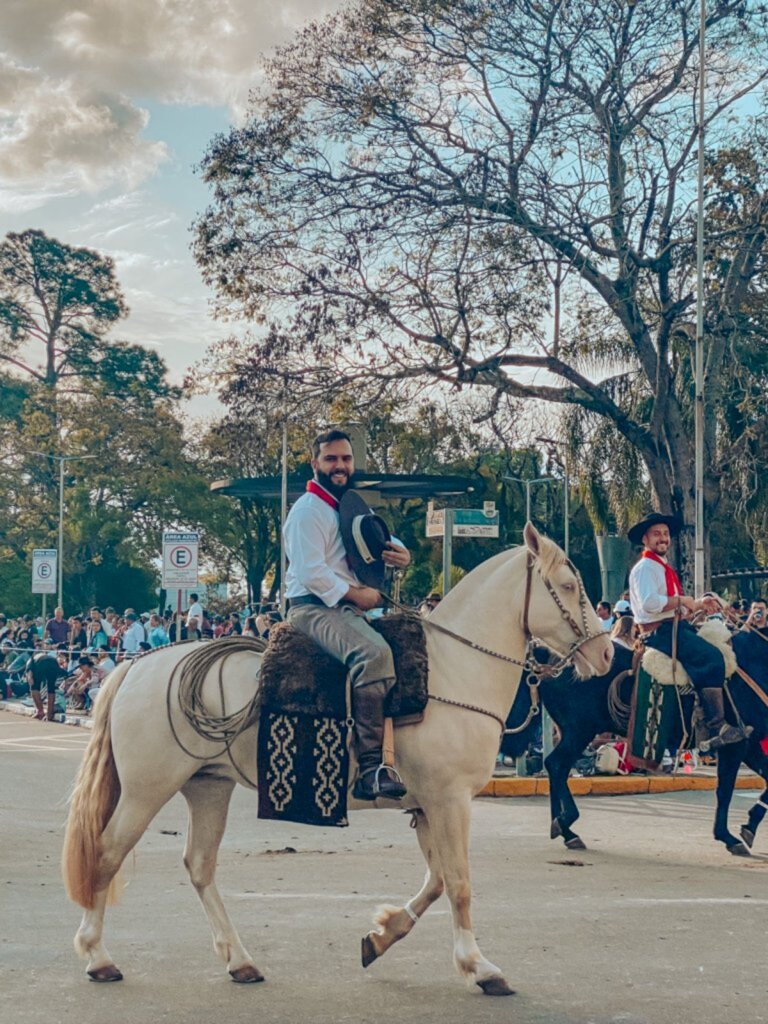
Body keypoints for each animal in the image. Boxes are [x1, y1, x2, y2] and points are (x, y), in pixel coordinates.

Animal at [61, 524, 614, 995]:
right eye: (568, 585)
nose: (607, 654)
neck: (452, 670)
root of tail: (135, 667)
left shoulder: (427, 806)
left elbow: (436, 882)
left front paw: (382, 936)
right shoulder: (450, 800)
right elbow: (458, 884)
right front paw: (479, 967)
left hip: (208, 786)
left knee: (199, 865)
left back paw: (239, 960)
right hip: (146, 790)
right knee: (107, 854)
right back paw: (97, 956)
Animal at [501, 638, 768, 856]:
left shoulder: (750, 743)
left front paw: (749, 826)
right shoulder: (736, 744)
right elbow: (725, 791)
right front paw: (729, 836)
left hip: (572, 731)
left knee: (556, 767)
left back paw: (560, 825)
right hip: (580, 730)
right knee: (556, 764)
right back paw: (567, 825)